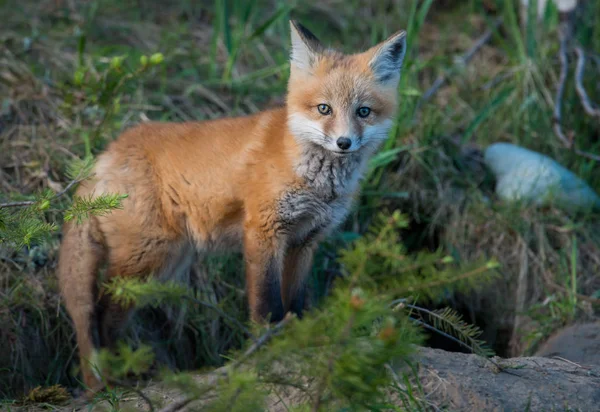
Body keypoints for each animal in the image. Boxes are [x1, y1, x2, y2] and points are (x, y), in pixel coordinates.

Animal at [58, 20, 406, 392]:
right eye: (323, 108)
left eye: (363, 112)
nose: (344, 142)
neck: (316, 183)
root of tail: (105, 154)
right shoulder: (264, 231)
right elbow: (267, 304)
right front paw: (266, 351)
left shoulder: (304, 240)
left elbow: (296, 302)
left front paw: (299, 342)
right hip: (147, 256)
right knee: (102, 311)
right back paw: (114, 378)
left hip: (165, 263)